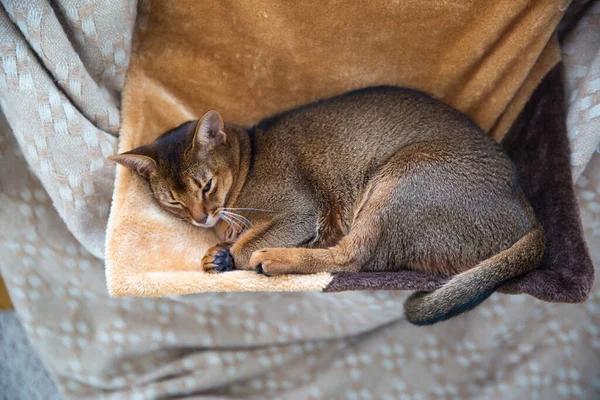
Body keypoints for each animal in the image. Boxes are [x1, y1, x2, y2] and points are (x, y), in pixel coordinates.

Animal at [110, 87, 548, 324]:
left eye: (206, 185)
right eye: (173, 201)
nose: (201, 219)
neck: (249, 159)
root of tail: (528, 212)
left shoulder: (298, 211)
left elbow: (249, 242)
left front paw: (230, 254)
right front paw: (217, 252)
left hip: (404, 176)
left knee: (353, 257)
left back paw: (275, 259)